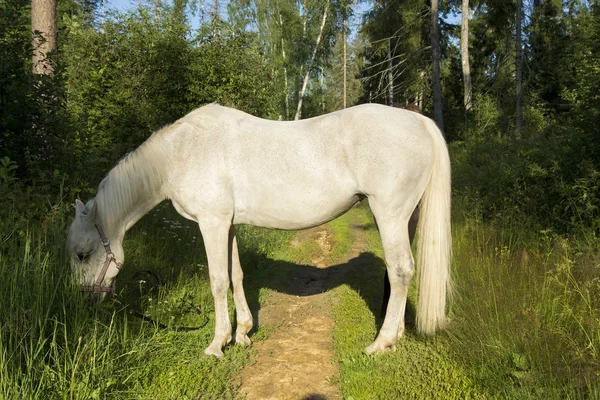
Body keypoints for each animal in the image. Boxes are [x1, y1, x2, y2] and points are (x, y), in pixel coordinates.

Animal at [67, 103, 450, 356]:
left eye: (83, 254)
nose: (85, 300)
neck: (181, 155)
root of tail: (419, 121)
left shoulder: (212, 223)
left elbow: (217, 281)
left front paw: (217, 343)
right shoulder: (229, 225)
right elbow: (236, 275)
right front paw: (243, 334)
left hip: (390, 215)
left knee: (400, 271)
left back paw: (381, 342)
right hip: (406, 218)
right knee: (399, 275)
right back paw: (396, 336)